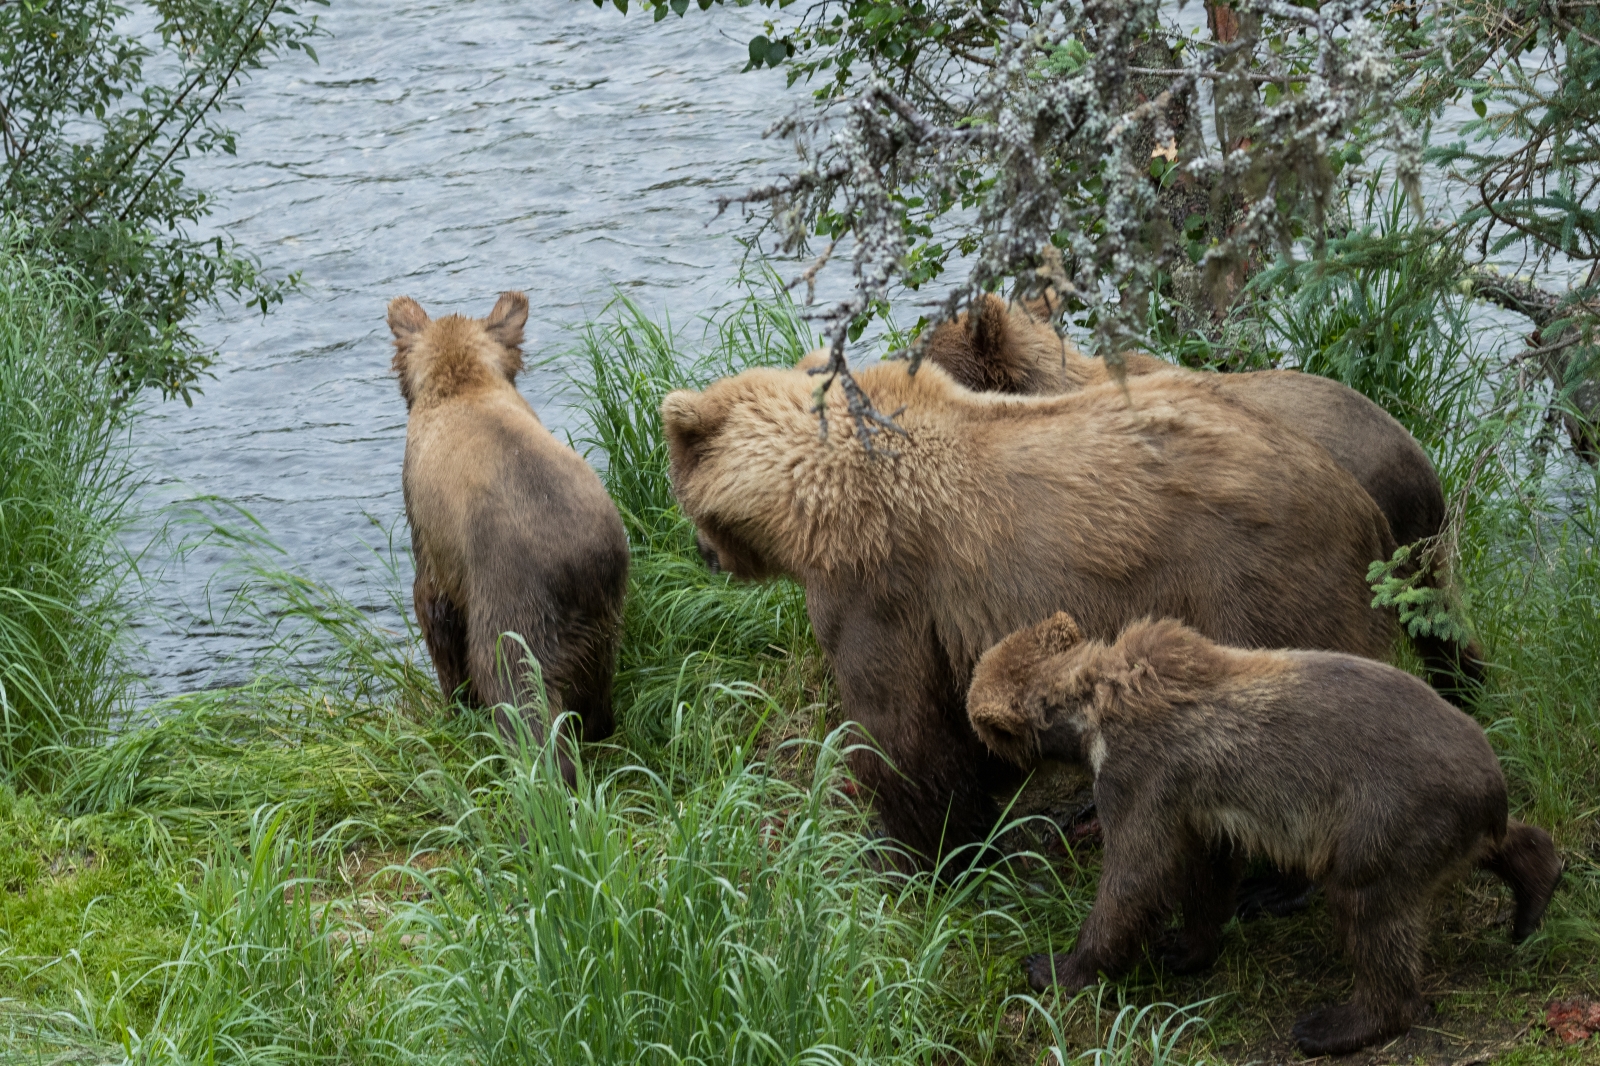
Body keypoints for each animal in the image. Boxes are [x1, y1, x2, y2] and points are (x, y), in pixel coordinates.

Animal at [390, 291, 627, 771]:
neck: (464, 382)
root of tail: (578, 562)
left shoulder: (433, 541)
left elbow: (436, 615)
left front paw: (455, 704)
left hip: (512, 599)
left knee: (516, 688)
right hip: (602, 610)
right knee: (593, 681)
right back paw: (595, 730)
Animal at [662, 358, 1401, 864]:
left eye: (677, 489)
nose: (702, 553)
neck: (809, 494)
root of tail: (1363, 508)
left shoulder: (879, 587)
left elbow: (897, 730)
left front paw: (920, 851)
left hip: (1250, 582)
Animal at [960, 605, 1561, 1056]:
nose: (974, 746)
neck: (1091, 711)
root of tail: (1490, 789)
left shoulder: (1140, 768)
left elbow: (1136, 874)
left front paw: (1052, 967)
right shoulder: (1196, 799)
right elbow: (1205, 866)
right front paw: (1183, 946)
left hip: (1385, 815)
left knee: (1371, 912)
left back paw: (1333, 1024)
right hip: (1443, 819)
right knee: (1501, 845)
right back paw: (1535, 892)